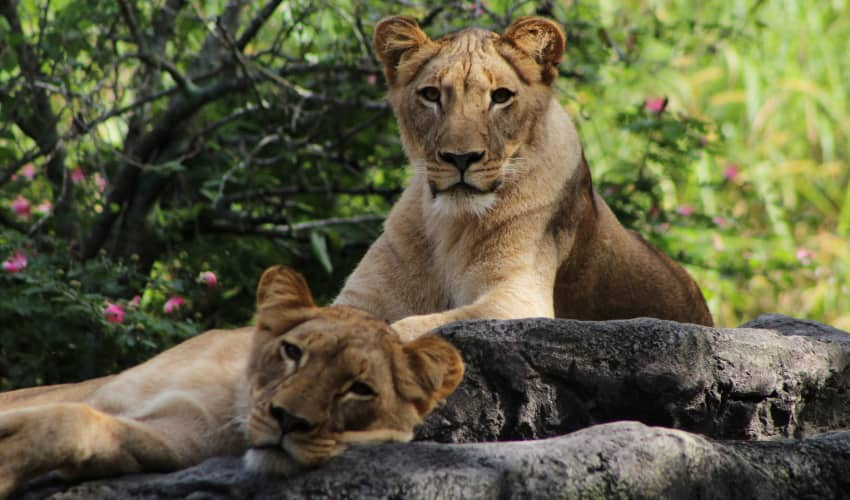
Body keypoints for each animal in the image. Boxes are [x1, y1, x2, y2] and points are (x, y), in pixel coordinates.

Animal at [0, 266, 464, 496]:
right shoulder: (93, 390)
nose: (288, 420)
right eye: (292, 352)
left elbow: (72, 424)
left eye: (360, 389)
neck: (229, 395)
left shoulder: (169, 442)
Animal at [334, 14, 712, 340]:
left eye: (500, 97)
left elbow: (407, 327)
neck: (449, 223)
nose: (461, 158)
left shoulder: (518, 299)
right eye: (431, 95)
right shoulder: (361, 297)